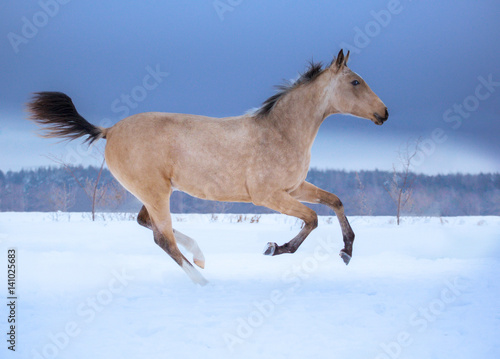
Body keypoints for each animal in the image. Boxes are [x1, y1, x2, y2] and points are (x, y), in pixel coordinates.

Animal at [27, 49, 388, 286]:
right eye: (356, 82)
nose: (384, 113)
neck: (281, 132)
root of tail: (110, 130)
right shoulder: (268, 196)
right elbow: (312, 218)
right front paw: (275, 248)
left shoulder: (295, 187)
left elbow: (335, 201)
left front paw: (347, 251)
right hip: (155, 192)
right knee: (163, 239)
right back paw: (203, 283)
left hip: (152, 193)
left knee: (149, 224)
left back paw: (199, 258)